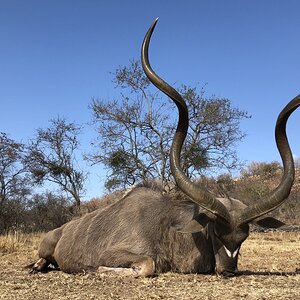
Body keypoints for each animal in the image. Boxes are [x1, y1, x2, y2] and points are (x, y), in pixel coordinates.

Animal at [31, 18, 298, 276]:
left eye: (244, 236)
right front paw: (91, 268)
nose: (229, 270)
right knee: (42, 260)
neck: (167, 226)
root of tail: (60, 230)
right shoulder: (119, 253)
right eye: (215, 231)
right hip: (45, 249)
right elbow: (147, 264)